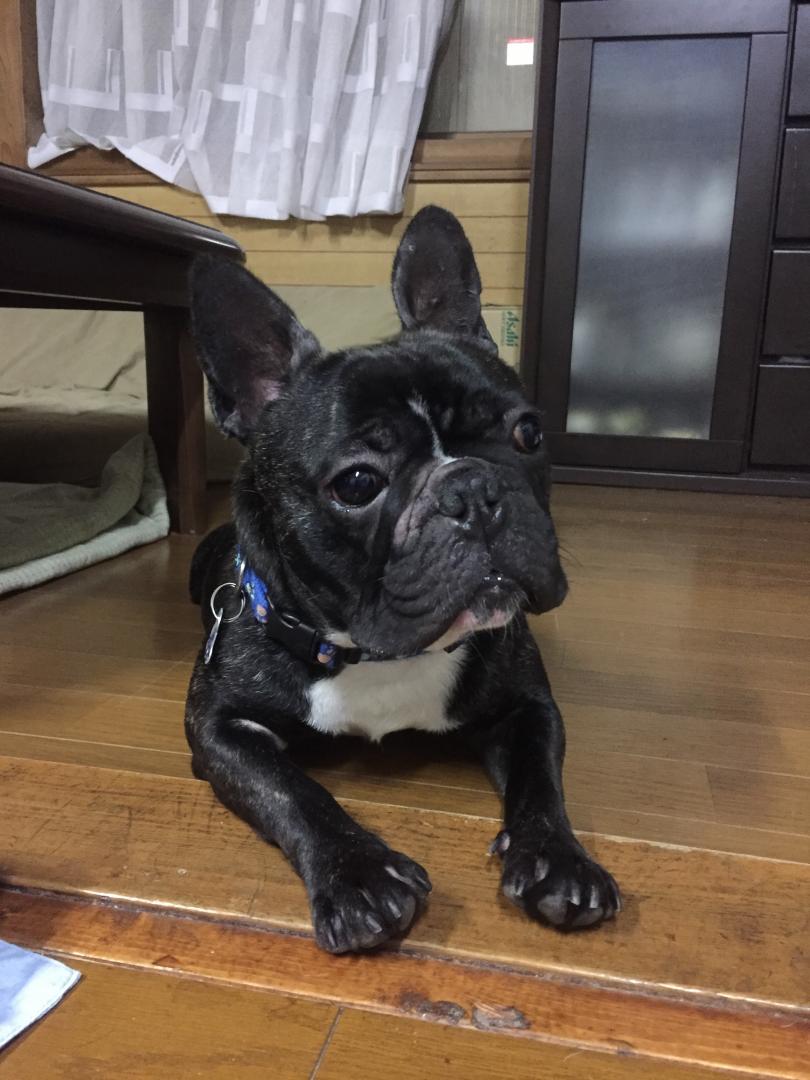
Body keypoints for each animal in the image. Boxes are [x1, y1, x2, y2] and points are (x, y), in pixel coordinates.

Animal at [185, 206, 621, 954]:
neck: (378, 656)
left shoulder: (528, 705)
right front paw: (359, 876)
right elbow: (292, 790)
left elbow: (541, 782)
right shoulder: (217, 729)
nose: (472, 490)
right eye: (358, 482)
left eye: (529, 433)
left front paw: (559, 859)